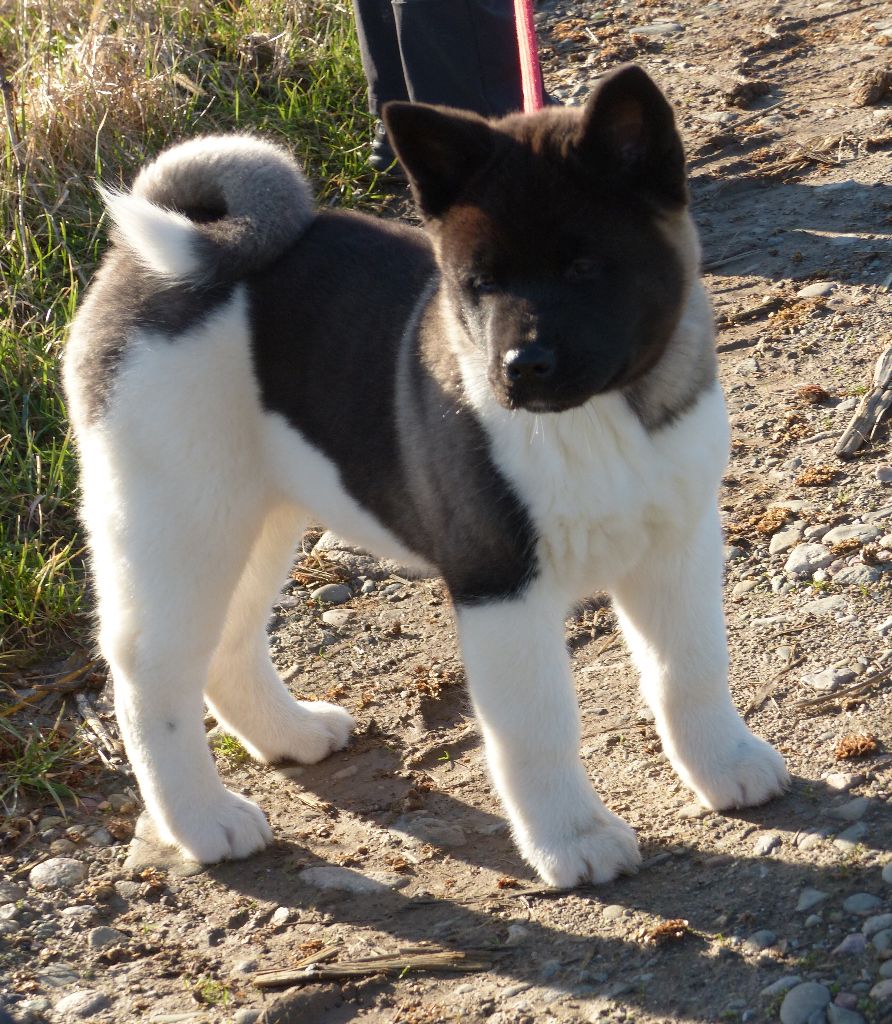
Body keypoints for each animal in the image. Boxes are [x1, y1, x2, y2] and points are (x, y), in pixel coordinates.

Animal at [63, 65, 789, 888]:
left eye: (583, 267)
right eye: (479, 283)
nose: (521, 367)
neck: (598, 417)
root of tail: (147, 263)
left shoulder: (677, 546)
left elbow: (691, 668)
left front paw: (725, 765)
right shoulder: (500, 583)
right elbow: (537, 725)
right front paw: (572, 839)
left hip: (254, 516)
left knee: (228, 640)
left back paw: (291, 733)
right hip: (177, 520)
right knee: (152, 676)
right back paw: (202, 820)